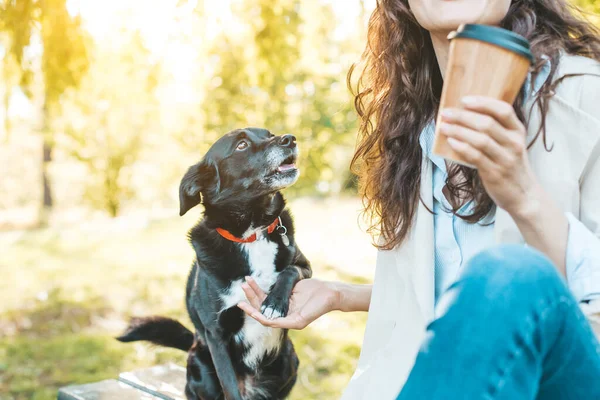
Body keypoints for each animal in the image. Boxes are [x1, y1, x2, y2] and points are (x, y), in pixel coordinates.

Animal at [119, 129, 312, 400]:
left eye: (269, 134)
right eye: (241, 145)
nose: (290, 139)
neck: (252, 233)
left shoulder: (305, 266)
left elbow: (289, 270)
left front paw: (274, 302)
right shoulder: (217, 335)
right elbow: (230, 387)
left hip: (289, 359)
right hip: (201, 365)